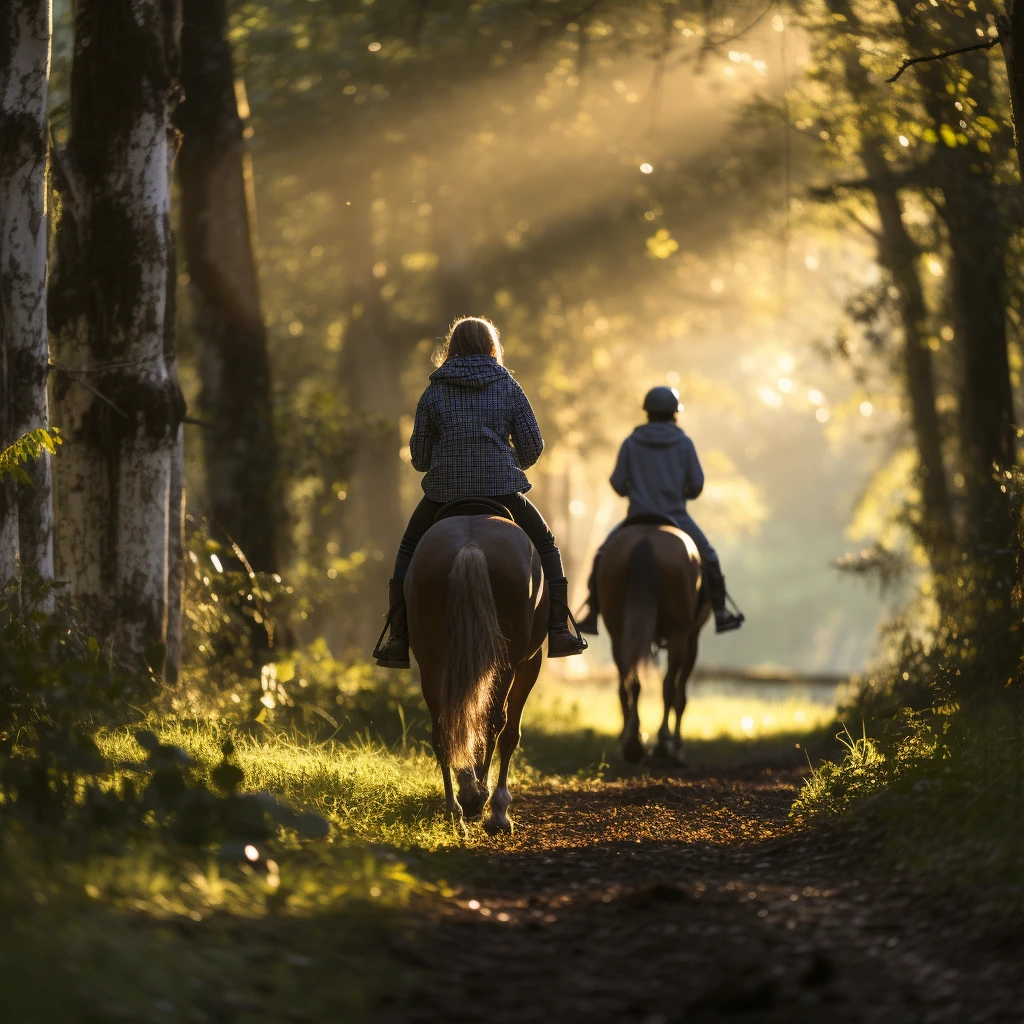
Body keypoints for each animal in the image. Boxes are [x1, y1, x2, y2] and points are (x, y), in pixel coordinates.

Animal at [405, 516, 552, 827]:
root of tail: (469, 546)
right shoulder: (530, 662)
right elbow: (509, 733)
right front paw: (498, 807)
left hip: (431, 664)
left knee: (444, 727)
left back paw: (456, 806)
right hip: (507, 663)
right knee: (494, 721)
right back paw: (482, 802)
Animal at [598, 524, 712, 765]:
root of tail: (646, 540)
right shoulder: (692, 638)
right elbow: (680, 695)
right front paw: (677, 747)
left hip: (618, 634)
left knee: (629, 683)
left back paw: (632, 743)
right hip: (679, 637)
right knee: (669, 687)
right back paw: (664, 743)